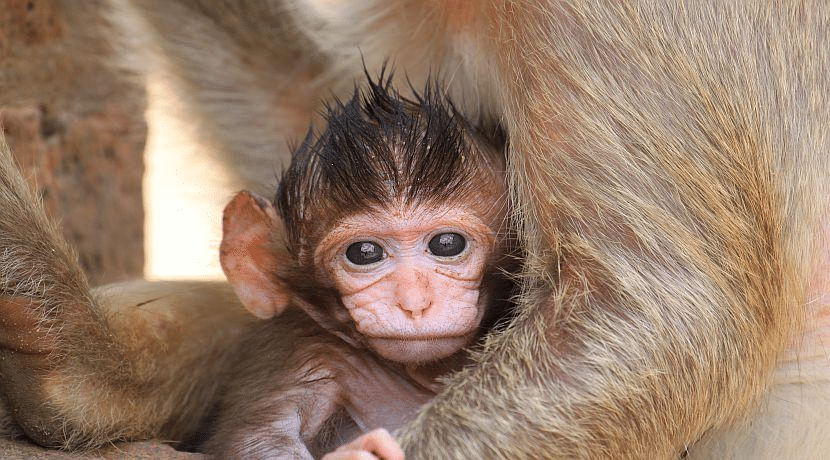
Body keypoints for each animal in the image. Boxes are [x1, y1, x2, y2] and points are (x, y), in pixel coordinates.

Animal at [204, 75, 516, 459]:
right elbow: (257, 438)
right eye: (365, 252)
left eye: (447, 244)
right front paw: (354, 453)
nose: (414, 303)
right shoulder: (311, 353)